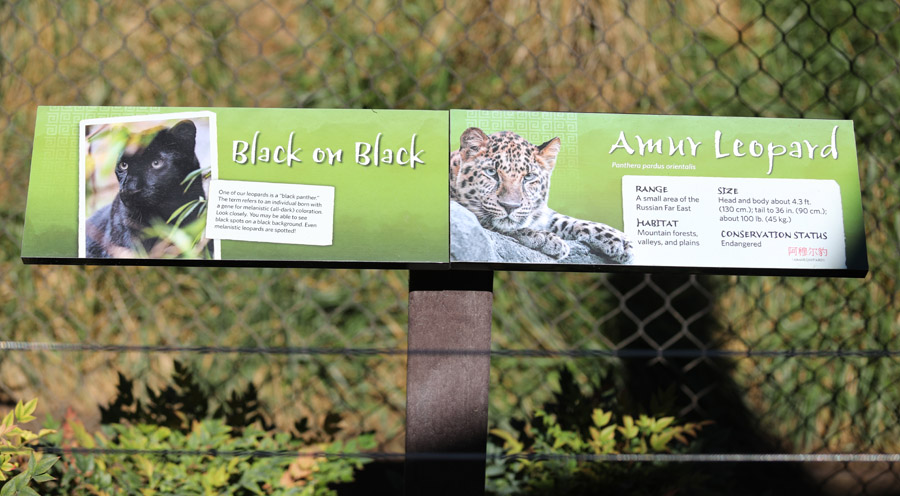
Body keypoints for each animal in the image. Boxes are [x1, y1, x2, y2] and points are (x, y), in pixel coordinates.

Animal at [450, 127, 633, 264]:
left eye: (529, 177)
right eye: (491, 172)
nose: (510, 206)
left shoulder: (540, 212)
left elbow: (565, 219)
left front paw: (620, 239)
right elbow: (496, 224)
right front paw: (545, 238)